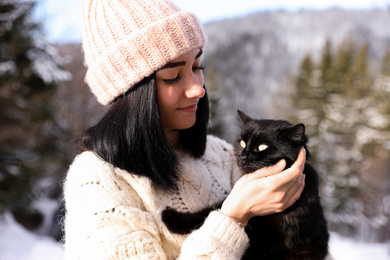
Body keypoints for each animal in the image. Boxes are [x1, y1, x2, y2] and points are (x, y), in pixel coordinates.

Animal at [161, 110, 330, 258]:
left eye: (262, 147)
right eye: (242, 143)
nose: (243, 156)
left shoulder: (273, 244)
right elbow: (208, 212)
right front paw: (171, 217)